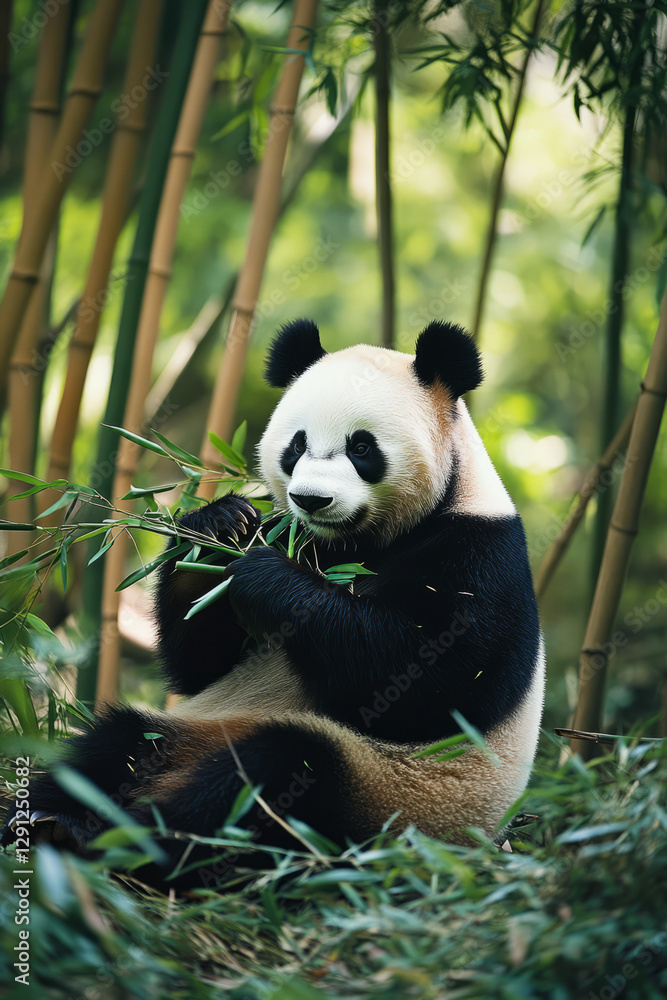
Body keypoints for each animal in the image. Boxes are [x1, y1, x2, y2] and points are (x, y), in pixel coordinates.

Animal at [2, 319, 545, 889]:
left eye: (362, 447)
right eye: (297, 444)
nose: (312, 500)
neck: (361, 542)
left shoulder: (479, 556)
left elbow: (429, 683)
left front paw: (264, 577)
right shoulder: (293, 538)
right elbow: (201, 662)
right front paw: (218, 527)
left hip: (386, 798)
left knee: (275, 777)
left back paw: (137, 843)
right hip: (192, 725)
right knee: (115, 746)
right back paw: (47, 818)